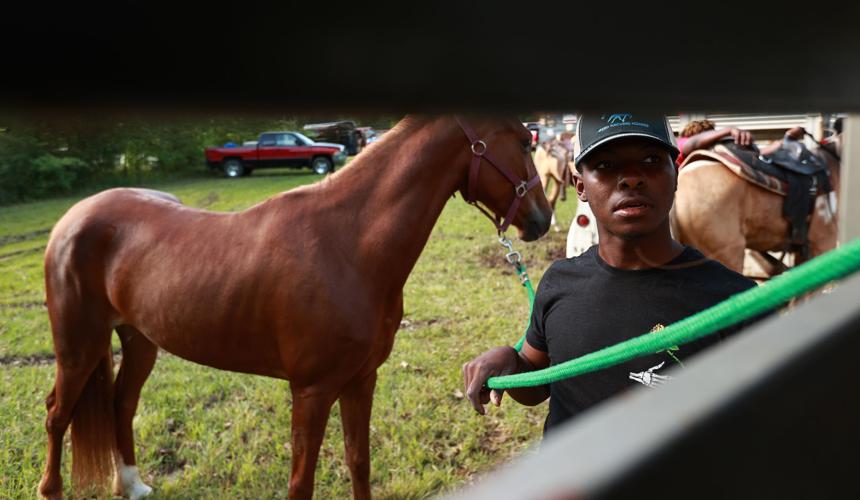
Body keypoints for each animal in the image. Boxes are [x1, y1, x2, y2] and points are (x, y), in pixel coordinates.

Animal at [37, 115, 552, 498]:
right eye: (524, 141)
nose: (542, 218)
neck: (348, 245)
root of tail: (73, 219)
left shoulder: (361, 380)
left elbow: (359, 462)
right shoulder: (311, 391)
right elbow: (301, 484)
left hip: (140, 340)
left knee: (121, 404)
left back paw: (132, 484)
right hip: (79, 346)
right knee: (57, 413)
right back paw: (52, 489)